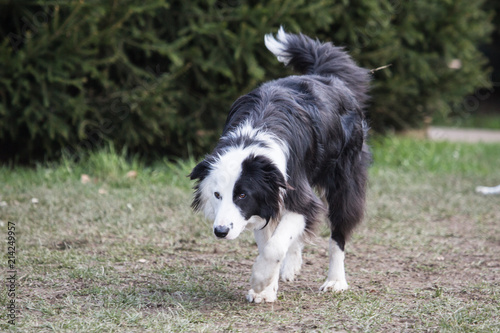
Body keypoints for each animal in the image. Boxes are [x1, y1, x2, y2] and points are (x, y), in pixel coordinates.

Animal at [189, 27, 370, 304]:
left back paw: (336, 281)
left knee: (338, 228)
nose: (220, 231)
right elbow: (270, 241)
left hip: (346, 174)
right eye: (217, 195)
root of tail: (324, 75)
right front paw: (266, 288)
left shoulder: (286, 188)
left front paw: (259, 280)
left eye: (242, 195)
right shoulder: (266, 200)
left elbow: (276, 243)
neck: (251, 141)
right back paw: (291, 265)